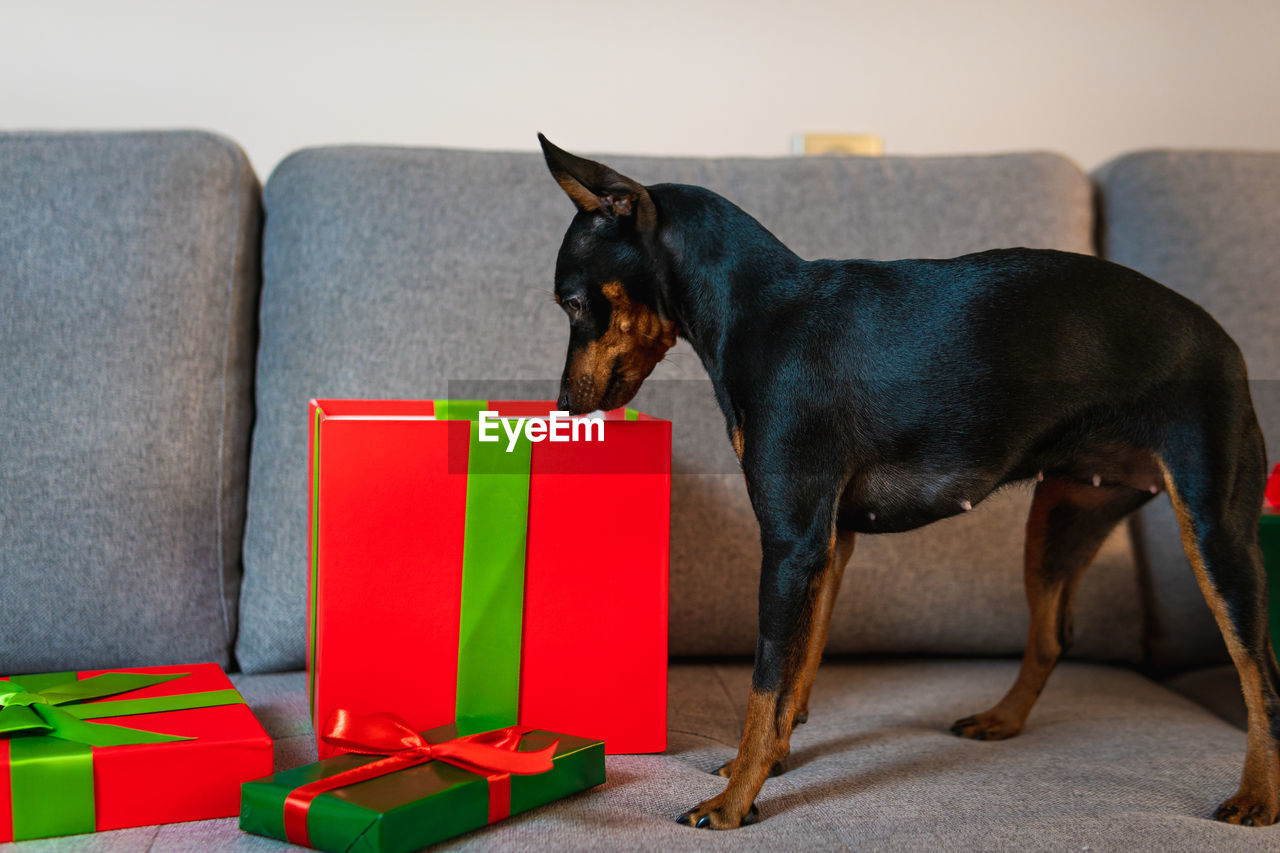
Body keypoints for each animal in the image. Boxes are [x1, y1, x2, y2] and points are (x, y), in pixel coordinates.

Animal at [535, 133, 1274, 824]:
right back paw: (1002, 719)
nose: (564, 405)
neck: (762, 310)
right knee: (1053, 634)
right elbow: (799, 673)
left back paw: (1257, 796)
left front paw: (735, 800)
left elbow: (766, 681)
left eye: (571, 303)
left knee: (1258, 669)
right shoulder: (829, 543)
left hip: (1213, 532)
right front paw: (771, 763)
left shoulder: (792, 541)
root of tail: (1226, 340)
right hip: (1060, 519)